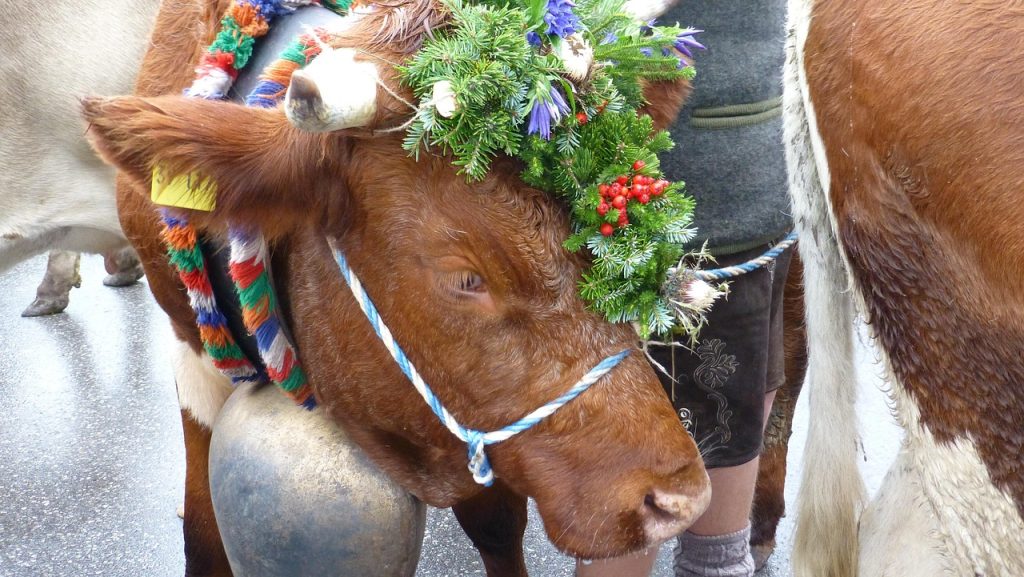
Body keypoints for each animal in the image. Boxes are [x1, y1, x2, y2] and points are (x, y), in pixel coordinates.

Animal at [81, 0, 713, 574]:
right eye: (466, 278)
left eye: (596, 234)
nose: (679, 499)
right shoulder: (189, 347)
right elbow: (202, 533)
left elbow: (496, 523)